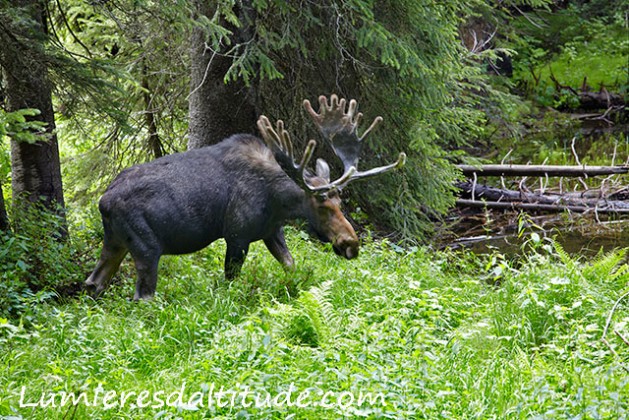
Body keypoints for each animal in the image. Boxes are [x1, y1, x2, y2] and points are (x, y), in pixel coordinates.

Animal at [83, 94, 404, 298]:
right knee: (142, 295)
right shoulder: (237, 235)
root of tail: (103, 203)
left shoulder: (271, 231)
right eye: (322, 204)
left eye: (340, 202)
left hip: (115, 242)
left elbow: (291, 267)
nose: (351, 244)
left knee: (93, 283)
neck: (279, 202)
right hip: (147, 247)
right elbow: (230, 282)